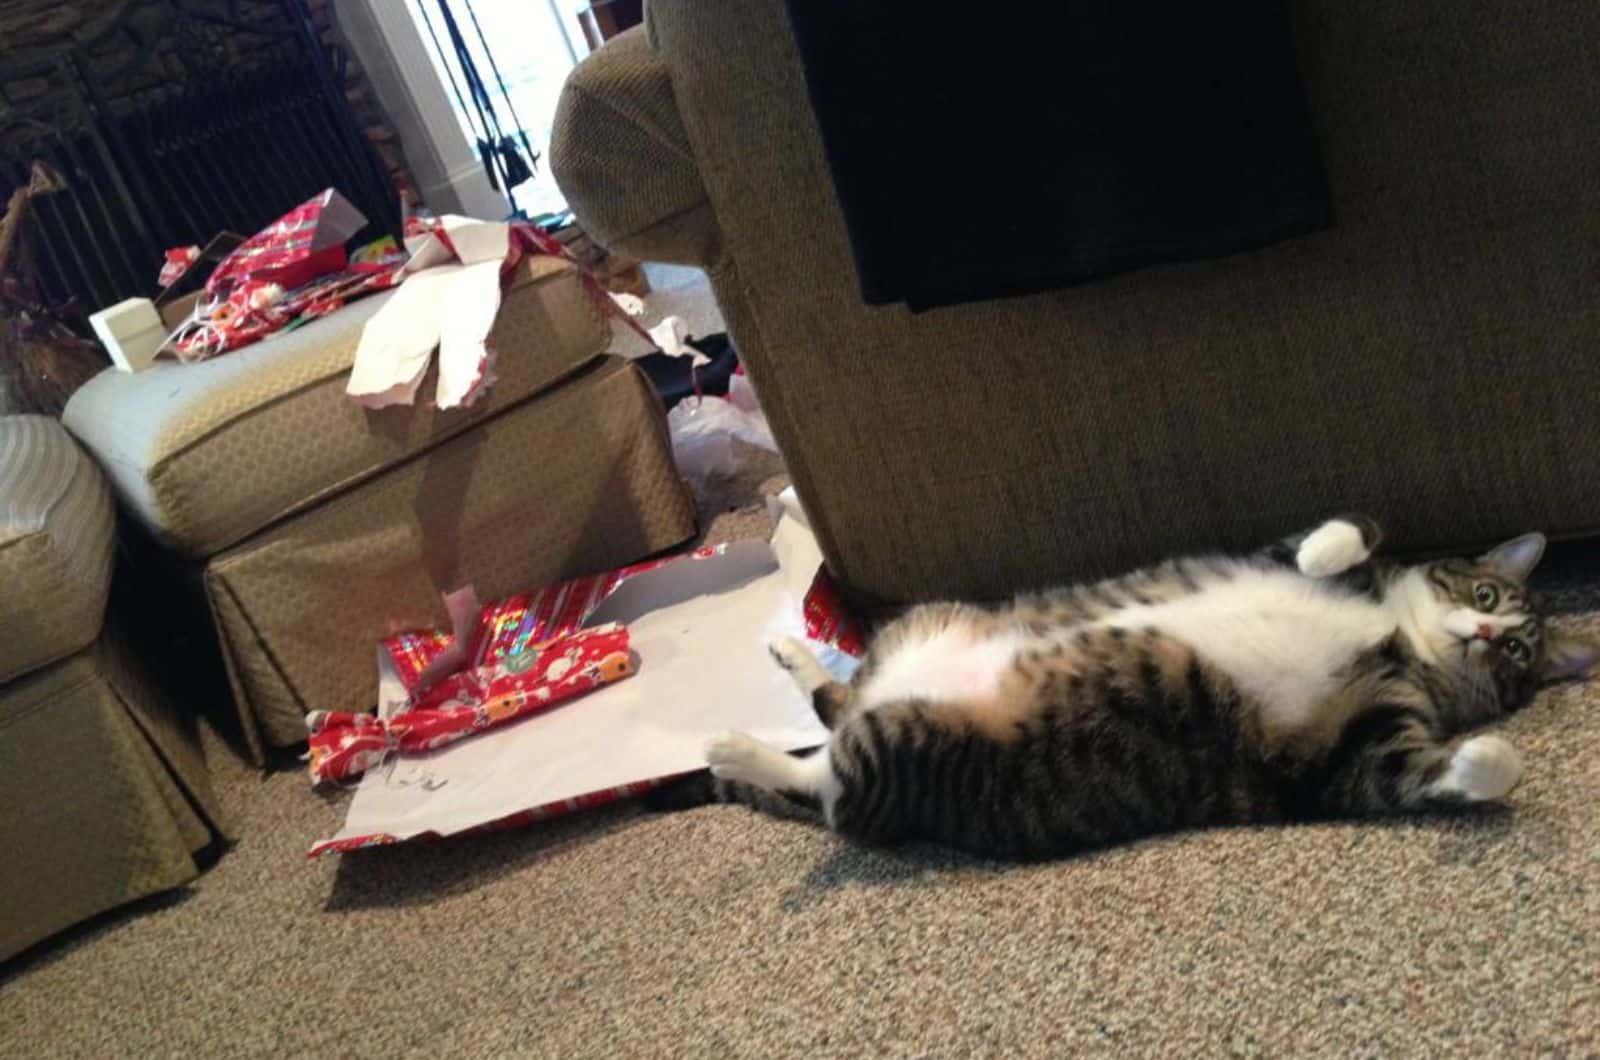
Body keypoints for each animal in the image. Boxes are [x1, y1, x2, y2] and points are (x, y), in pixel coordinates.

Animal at [659, 515, 1587, 864]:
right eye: (1488, 594)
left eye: (1517, 653)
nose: (1485, 637)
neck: (1393, 638)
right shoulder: (1278, 553)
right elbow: (1345, 536)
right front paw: (1338, 548)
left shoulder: (1354, 754)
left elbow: (1445, 770)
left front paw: (1490, 756)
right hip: (919, 625)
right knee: (835, 719)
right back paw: (790, 659)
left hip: (904, 747)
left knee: (832, 785)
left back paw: (734, 744)